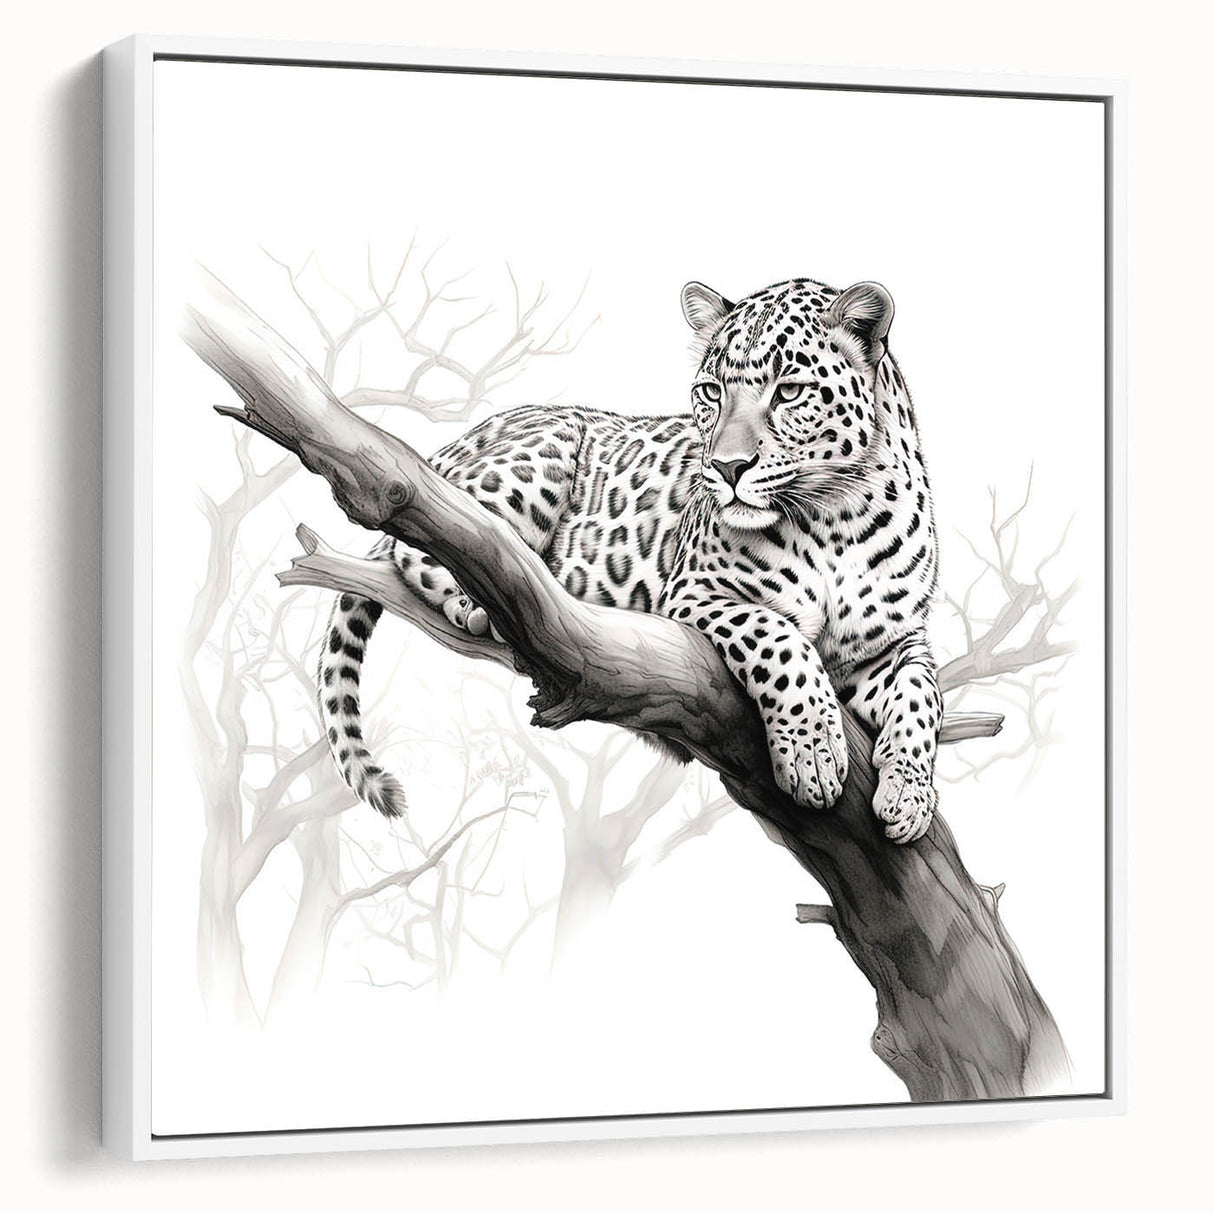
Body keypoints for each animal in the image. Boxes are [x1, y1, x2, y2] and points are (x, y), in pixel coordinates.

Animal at [318, 277, 942, 843]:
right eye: (711, 392)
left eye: (789, 392)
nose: (726, 467)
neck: (837, 519)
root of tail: (460, 439)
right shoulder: (694, 593)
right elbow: (779, 640)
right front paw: (813, 754)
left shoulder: (894, 641)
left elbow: (923, 695)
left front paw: (909, 797)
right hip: (533, 462)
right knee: (435, 535)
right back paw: (480, 600)